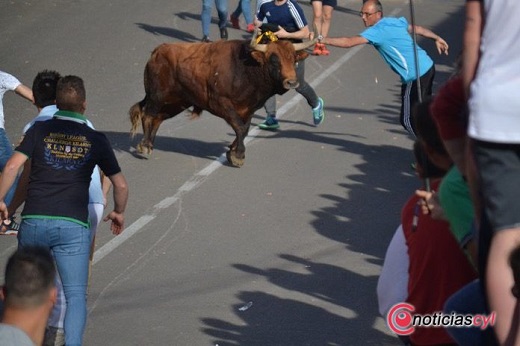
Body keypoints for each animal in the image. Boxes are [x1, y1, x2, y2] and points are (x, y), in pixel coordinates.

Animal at [130, 32, 316, 166]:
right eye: (274, 60)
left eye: (294, 58)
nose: (291, 82)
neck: (246, 69)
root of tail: (157, 52)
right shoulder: (221, 103)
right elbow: (239, 128)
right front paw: (238, 155)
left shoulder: (249, 109)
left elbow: (244, 129)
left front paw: (232, 152)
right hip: (157, 96)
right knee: (148, 115)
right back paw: (145, 146)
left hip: (176, 103)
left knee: (157, 118)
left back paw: (149, 144)